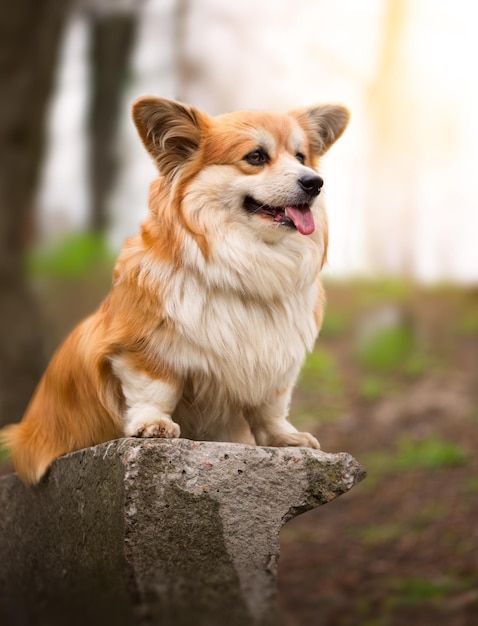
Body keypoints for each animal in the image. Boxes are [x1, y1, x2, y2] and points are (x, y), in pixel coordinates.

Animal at [1, 96, 350, 482]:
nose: (315, 182)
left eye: (301, 157)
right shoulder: (141, 348)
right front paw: (153, 424)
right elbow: (155, 389)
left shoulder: (277, 366)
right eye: (256, 156)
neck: (247, 260)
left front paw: (285, 438)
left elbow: (270, 407)